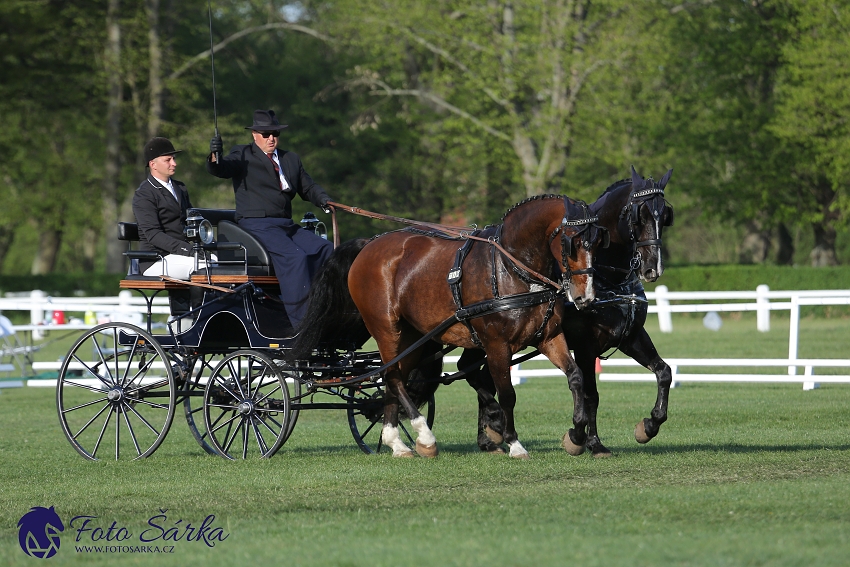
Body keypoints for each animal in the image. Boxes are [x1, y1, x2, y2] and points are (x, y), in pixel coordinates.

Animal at [292, 197, 604, 460]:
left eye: (597, 242)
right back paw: (425, 436)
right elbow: (507, 394)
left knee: (395, 378)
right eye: (572, 241)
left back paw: (397, 443)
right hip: (386, 330)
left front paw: (576, 435)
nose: (585, 297)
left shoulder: (549, 337)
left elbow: (576, 377)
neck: (512, 269)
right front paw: (512, 442)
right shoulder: (496, 346)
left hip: (411, 337)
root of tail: (369, 245)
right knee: (393, 376)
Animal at [460, 168, 672, 458]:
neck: (609, 279)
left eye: (665, 215)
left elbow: (664, 372)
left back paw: (488, 437)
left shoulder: (631, 337)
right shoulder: (586, 346)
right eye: (638, 216)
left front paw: (649, 426)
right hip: (490, 341)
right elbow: (591, 395)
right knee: (471, 372)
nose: (652, 267)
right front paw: (587, 441)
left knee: (480, 375)